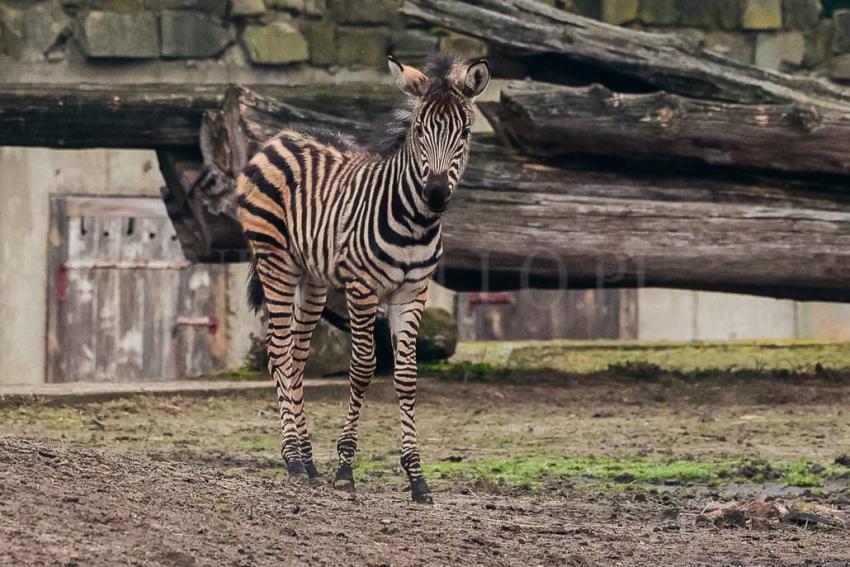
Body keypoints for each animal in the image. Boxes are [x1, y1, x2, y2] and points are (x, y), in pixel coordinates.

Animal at [237, 54, 490, 506]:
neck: (416, 223)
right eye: (420, 130)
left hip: (312, 278)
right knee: (278, 353)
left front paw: (417, 478)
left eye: (463, 132)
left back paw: (307, 460)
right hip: (275, 261)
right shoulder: (362, 288)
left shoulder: (412, 292)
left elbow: (406, 376)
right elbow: (362, 368)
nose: (436, 194)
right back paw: (295, 461)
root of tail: (281, 135)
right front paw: (345, 469)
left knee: (297, 356)